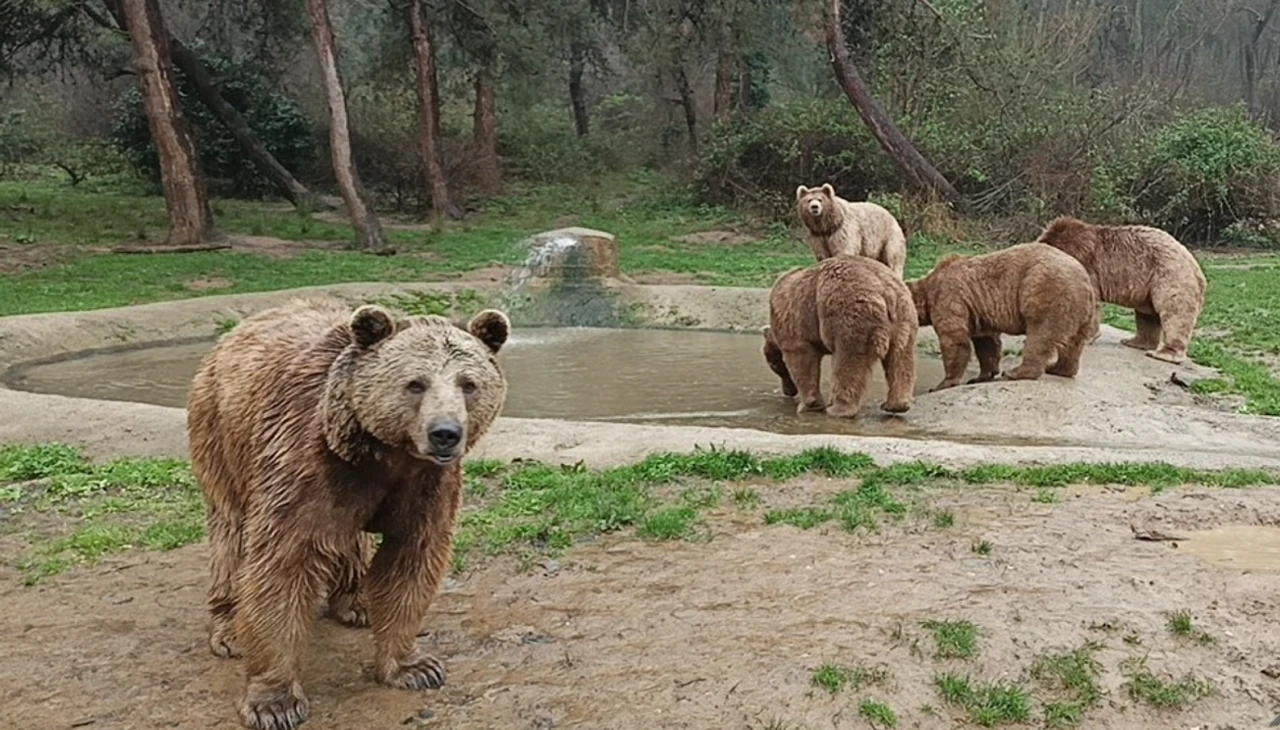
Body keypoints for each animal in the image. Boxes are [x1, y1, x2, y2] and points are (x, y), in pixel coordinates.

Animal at [185, 295, 509, 727]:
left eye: (468, 384)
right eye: (416, 383)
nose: (445, 433)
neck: (383, 455)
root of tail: (238, 329)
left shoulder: (426, 486)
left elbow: (411, 562)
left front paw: (414, 666)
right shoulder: (300, 462)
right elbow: (280, 567)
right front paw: (274, 702)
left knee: (349, 539)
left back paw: (357, 603)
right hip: (221, 434)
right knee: (231, 535)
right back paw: (230, 629)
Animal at [762, 254, 916, 414]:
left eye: (774, 365)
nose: (788, 391)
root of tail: (886, 289)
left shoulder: (794, 324)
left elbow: (801, 359)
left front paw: (809, 404)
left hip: (850, 312)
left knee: (849, 359)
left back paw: (839, 408)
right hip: (904, 318)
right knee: (900, 358)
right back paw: (896, 404)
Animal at [911, 243, 1100, 391]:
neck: (928, 288)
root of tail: (1085, 282)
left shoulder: (949, 296)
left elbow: (954, 339)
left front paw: (943, 383)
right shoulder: (978, 311)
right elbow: (987, 342)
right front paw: (981, 375)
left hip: (1046, 291)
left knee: (1040, 334)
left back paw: (1015, 372)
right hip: (1082, 312)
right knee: (1074, 343)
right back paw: (1058, 368)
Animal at [1034, 216, 1203, 363]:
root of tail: (1194, 264)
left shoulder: (1085, 264)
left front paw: (1085, 337)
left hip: (1169, 276)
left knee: (1174, 312)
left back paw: (1164, 353)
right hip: (1147, 288)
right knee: (1147, 315)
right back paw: (1135, 341)